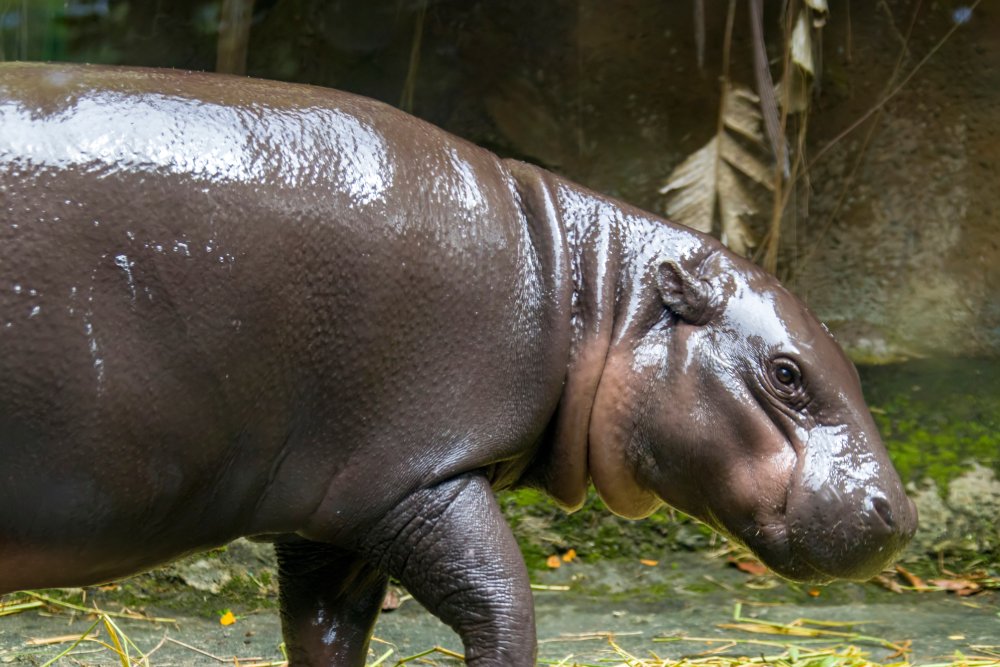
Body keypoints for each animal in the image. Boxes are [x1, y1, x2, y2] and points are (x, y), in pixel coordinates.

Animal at [0, 63, 915, 666]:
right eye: (787, 373)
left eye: (848, 367)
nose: (900, 515)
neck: (585, 286)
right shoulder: (416, 476)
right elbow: (503, 607)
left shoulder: (328, 509)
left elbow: (325, 630)